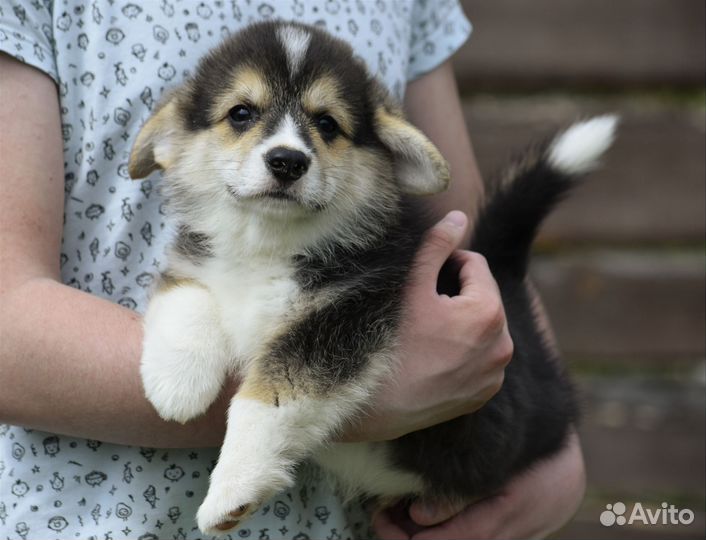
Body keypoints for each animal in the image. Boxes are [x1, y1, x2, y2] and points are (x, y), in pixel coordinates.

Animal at [129, 21, 612, 536]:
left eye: (327, 124)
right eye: (241, 113)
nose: (287, 161)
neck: (271, 244)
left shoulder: (346, 315)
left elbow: (266, 401)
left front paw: (232, 489)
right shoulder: (196, 263)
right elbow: (188, 297)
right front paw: (177, 384)